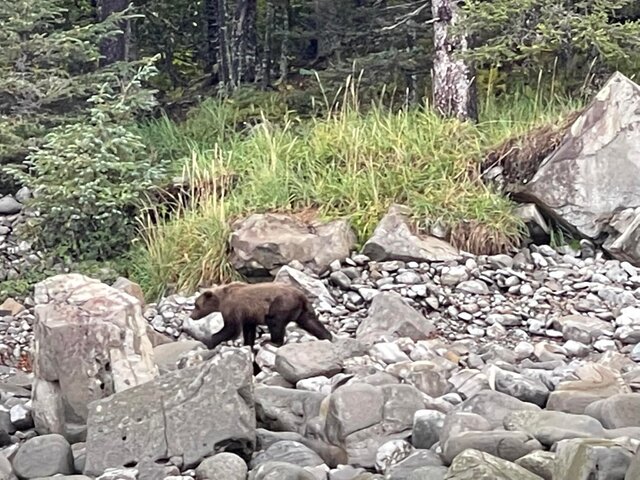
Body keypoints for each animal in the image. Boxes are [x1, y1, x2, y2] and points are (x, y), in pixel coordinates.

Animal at [189, 280, 332, 350]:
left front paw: (211, 341)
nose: (191, 316)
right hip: (303, 311)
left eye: (196, 305)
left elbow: (231, 328)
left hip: (280, 304)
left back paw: (271, 342)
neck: (220, 300)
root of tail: (301, 295)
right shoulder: (248, 314)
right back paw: (327, 337)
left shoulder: (232, 308)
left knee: (274, 322)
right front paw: (247, 344)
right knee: (311, 322)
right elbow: (248, 330)